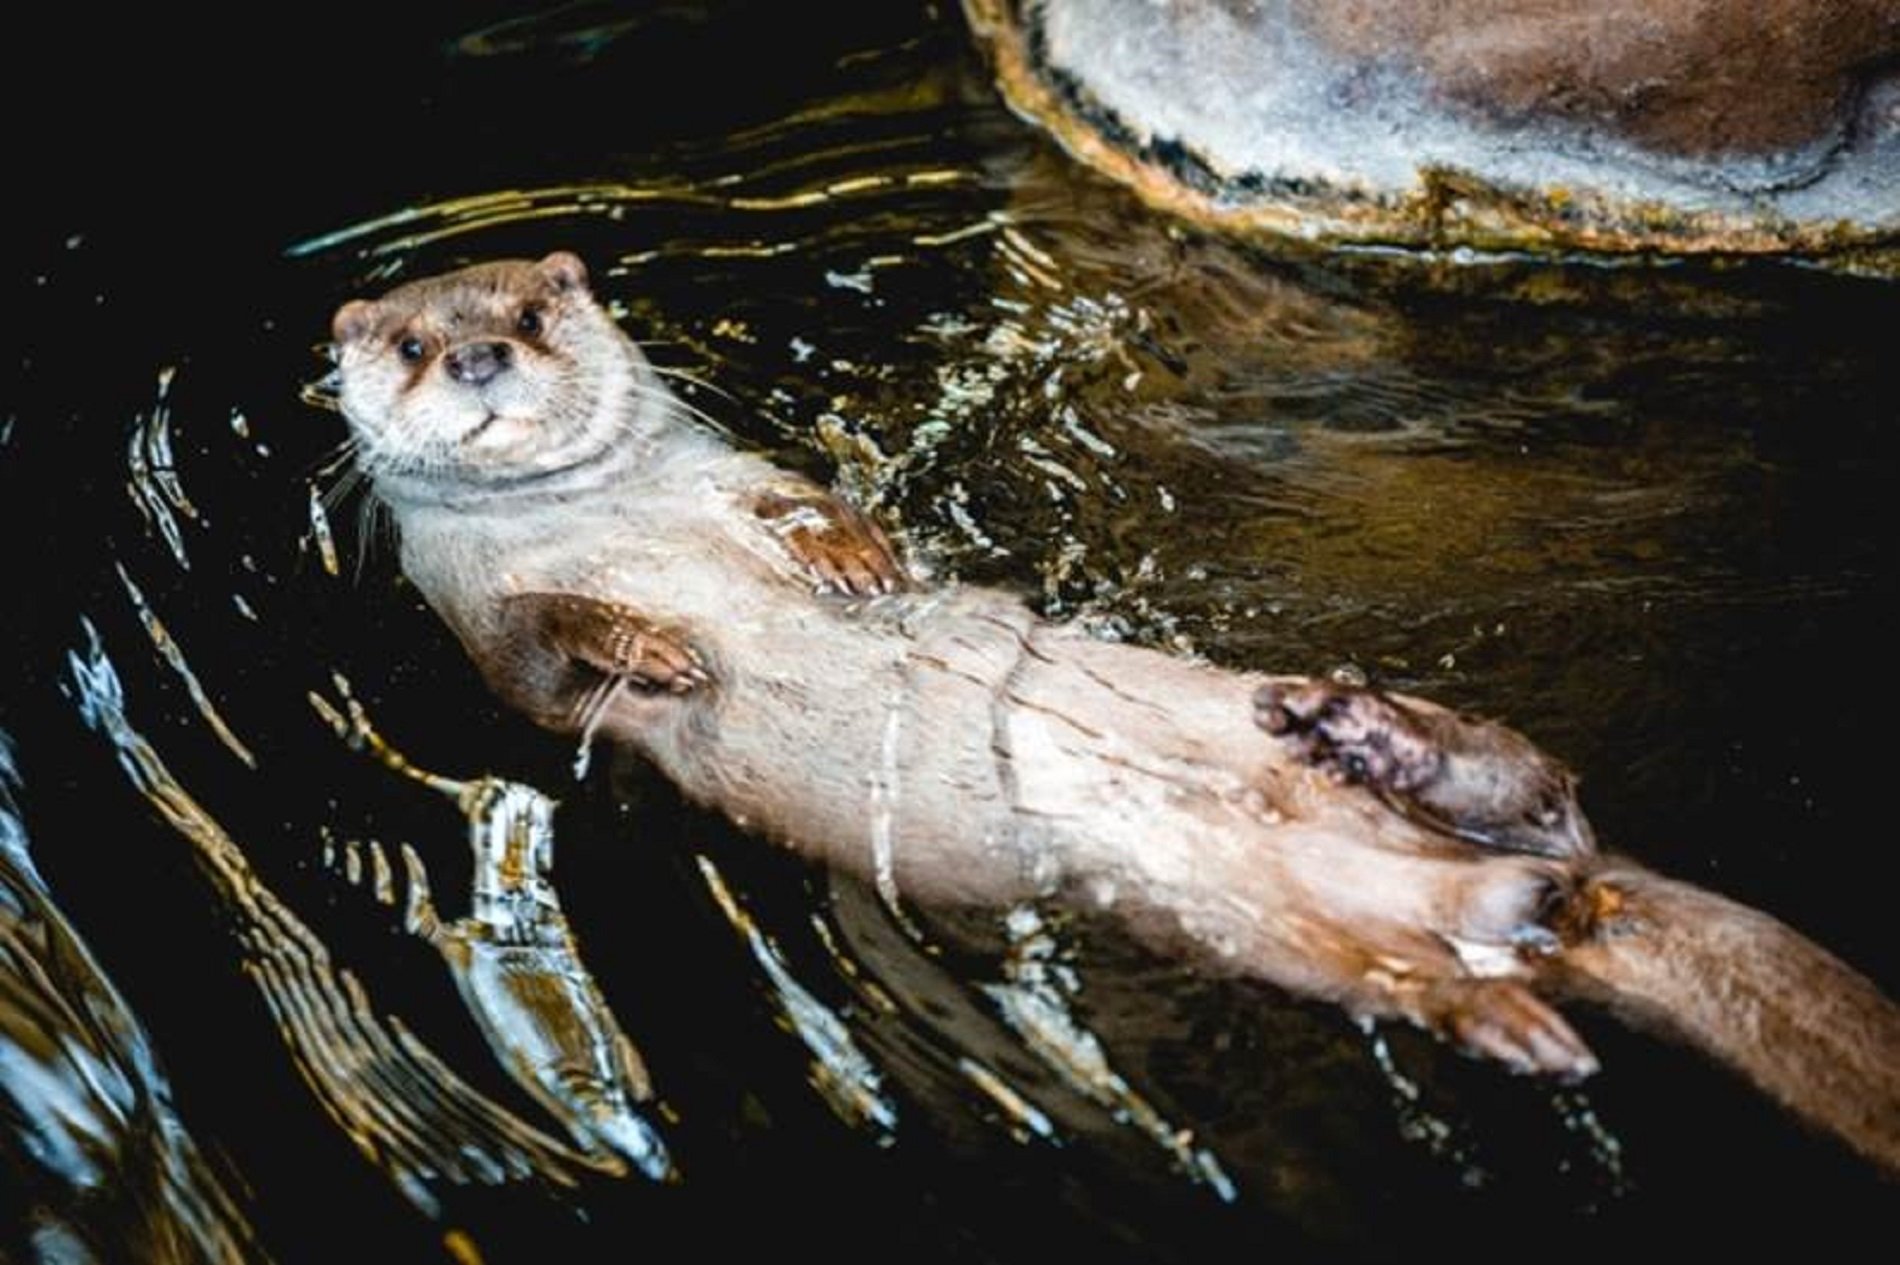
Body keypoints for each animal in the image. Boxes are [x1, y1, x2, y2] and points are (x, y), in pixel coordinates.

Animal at [330, 250, 1900, 1170]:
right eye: (407, 344)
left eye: (531, 314)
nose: (478, 359)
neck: (619, 518)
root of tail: (1529, 908)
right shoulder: (469, 616)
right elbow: (548, 661)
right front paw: (650, 649)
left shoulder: (733, 471)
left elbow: (805, 498)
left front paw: (850, 557)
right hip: (1271, 921)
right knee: (1428, 953)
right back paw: (1503, 1007)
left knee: (1541, 788)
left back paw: (1376, 737)